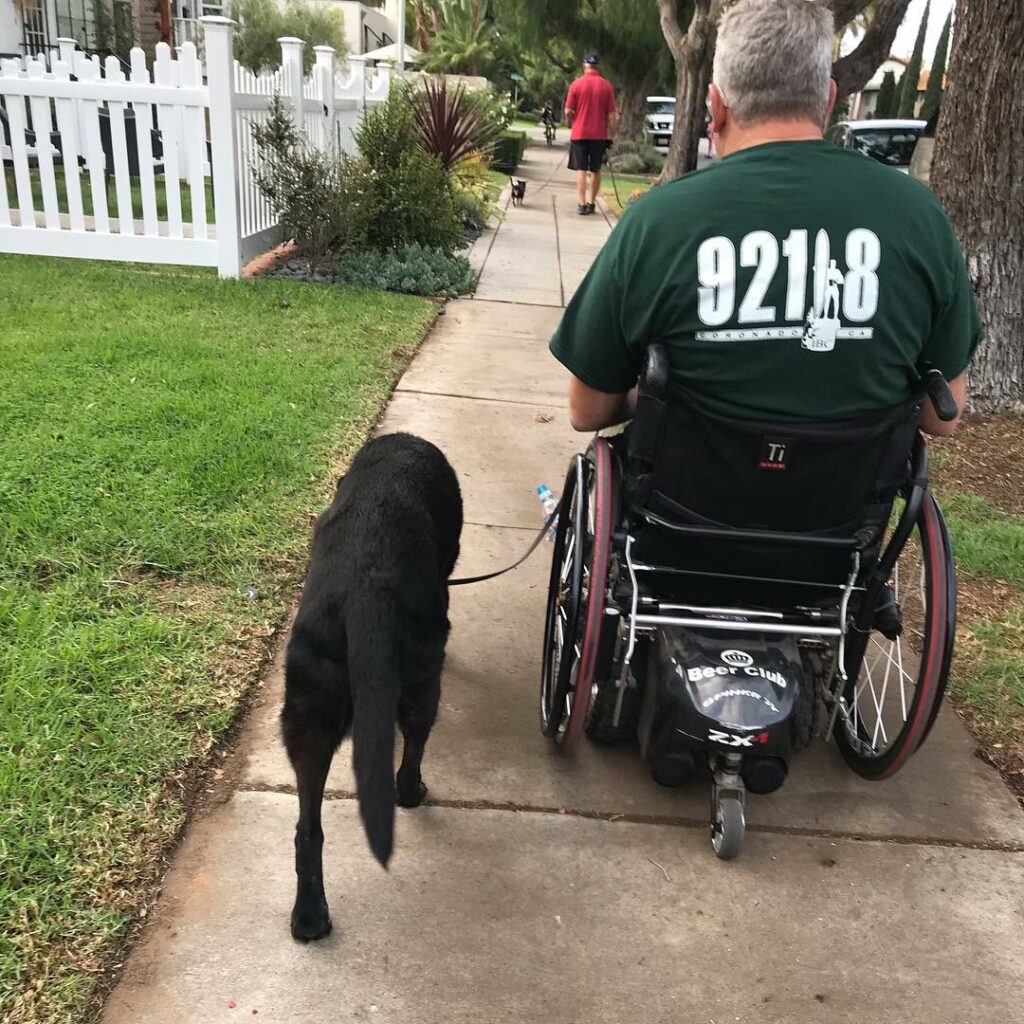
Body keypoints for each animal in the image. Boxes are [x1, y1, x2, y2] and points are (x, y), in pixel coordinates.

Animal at [281, 432, 463, 941]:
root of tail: (367, 594)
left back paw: (309, 916)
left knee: (308, 829)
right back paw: (411, 792)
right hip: (422, 688)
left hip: (308, 713)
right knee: (413, 748)